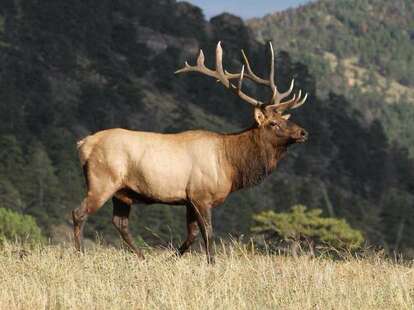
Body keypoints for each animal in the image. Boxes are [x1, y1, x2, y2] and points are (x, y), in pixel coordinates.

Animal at [73, 41, 308, 264]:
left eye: (285, 119)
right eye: (273, 123)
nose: (303, 132)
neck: (230, 164)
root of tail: (83, 143)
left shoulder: (188, 199)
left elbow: (192, 234)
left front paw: (169, 259)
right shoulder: (201, 194)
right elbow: (207, 233)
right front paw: (211, 263)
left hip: (123, 192)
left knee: (120, 223)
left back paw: (142, 258)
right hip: (102, 181)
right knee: (79, 213)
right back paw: (80, 254)